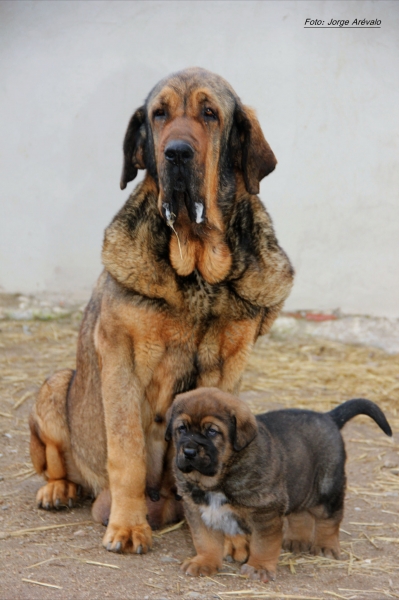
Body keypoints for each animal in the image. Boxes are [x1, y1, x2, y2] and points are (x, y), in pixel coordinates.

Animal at [28, 68, 294, 556]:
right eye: (159, 114)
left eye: (210, 113)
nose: (177, 153)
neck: (197, 264)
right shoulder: (120, 358)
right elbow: (128, 452)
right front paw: (128, 526)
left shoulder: (231, 365)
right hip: (55, 389)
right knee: (58, 464)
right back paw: (59, 489)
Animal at [166, 390, 394, 580]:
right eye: (181, 429)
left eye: (212, 432)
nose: (188, 452)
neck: (220, 476)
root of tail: (328, 417)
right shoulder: (198, 510)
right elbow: (205, 541)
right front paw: (204, 562)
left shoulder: (265, 512)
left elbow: (263, 544)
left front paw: (259, 567)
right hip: (298, 486)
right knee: (300, 514)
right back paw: (297, 540)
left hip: (328, 488)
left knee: (330, 519)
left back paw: (325, 546)